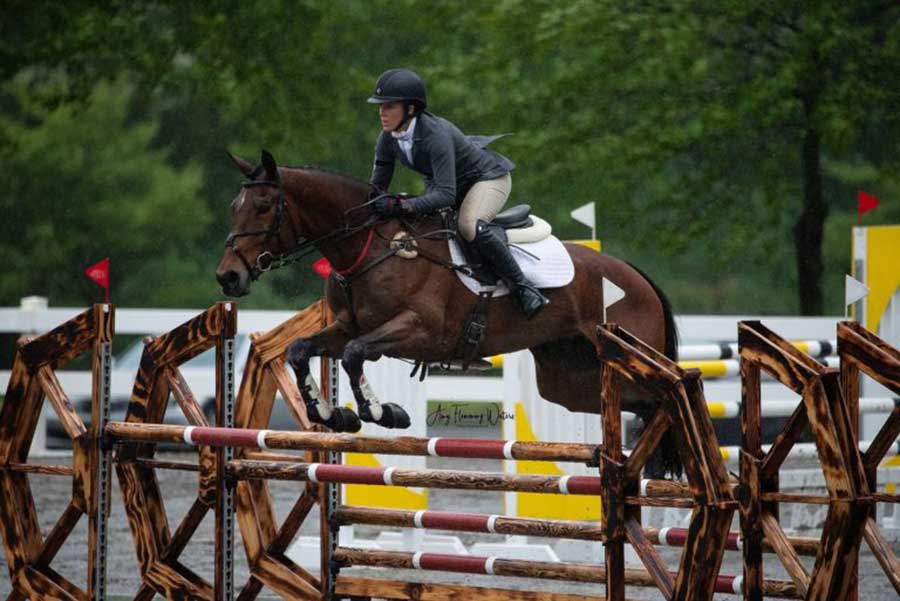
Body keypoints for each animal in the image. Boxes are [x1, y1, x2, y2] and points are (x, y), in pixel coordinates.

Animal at [216, 151, 684, 478]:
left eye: (263, 206)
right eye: (234, 207)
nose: (228, 277)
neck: (369, 245)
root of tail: (637, 276)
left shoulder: (421, 332)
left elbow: (354, 354)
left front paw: (381, 412)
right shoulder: (346, 326)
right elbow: (301, 350)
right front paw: (331, 414)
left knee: (660, 397)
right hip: (566, 381)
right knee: (637, 404)